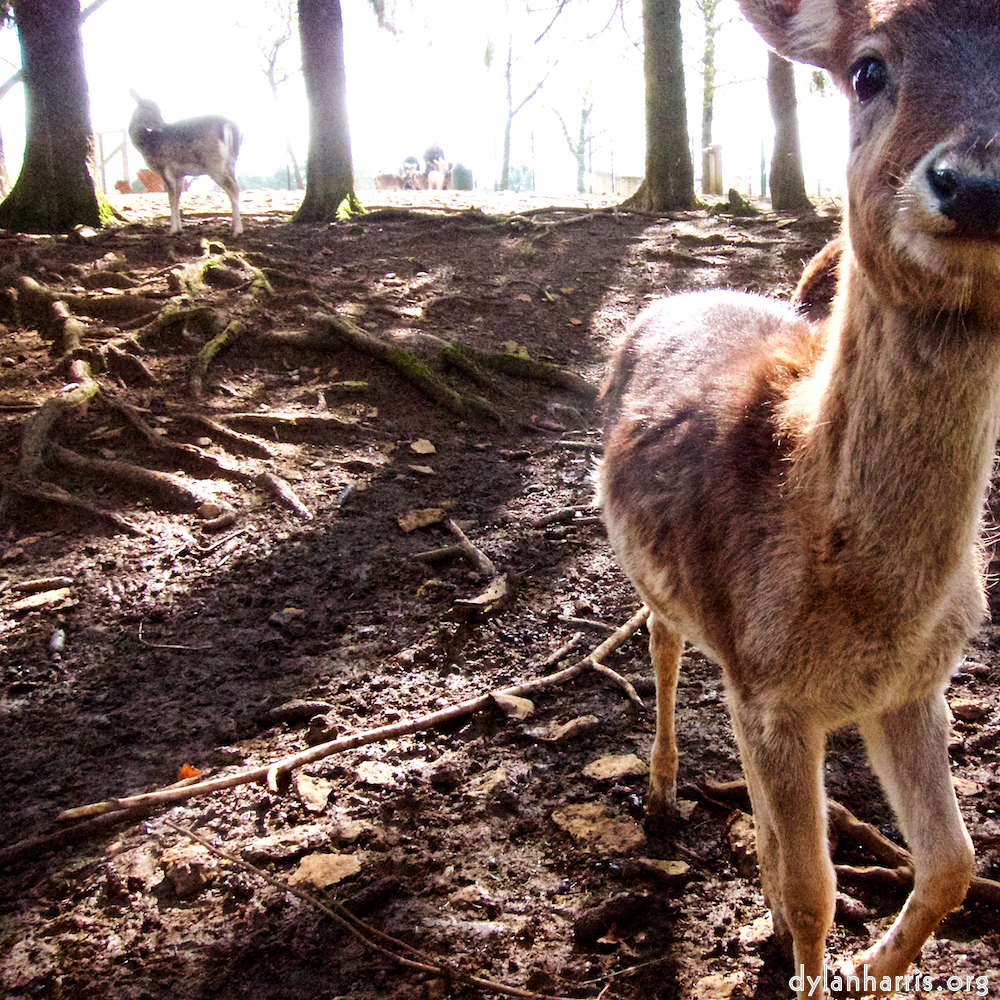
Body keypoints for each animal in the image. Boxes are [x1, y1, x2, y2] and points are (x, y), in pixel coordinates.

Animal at [128, 89, 243, 236]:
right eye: (148, 107)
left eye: (158, 108)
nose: (162, 125)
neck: (147, 145)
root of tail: (230, 127)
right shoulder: (179, 174)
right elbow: (177, 197)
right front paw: (179, 228)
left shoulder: (166, 168)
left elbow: (171, 198)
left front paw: (172, 230)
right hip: (230, 163)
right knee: (236, 186)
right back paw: (234, 225)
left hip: (213, 164)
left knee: (232, 188)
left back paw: (237, 230)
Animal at [592, 0, 992, 992]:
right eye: (867, 69)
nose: (976, 184)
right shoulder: (774, 693)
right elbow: (817, 889)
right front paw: (804, 943)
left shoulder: (916, 686)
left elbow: (953, 863)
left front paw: (869, 961)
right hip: (657, 586)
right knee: (661, 648)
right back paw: (660, 794)